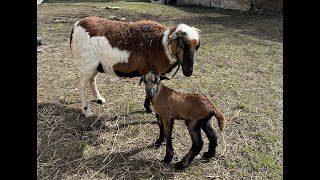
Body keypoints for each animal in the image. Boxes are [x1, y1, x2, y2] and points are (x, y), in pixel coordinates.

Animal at [70, 16, 201, 118]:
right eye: (181, 45)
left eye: (197, 47)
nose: (188, 71)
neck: (161, 44)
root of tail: (77, 24)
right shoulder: (151, 71)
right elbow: (149, 91)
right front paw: (150, 109)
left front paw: (148, 109)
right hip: (87, 65)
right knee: (81, 86)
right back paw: (86, 111)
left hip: (96, 66)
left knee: (92, 80)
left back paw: (99, 99)